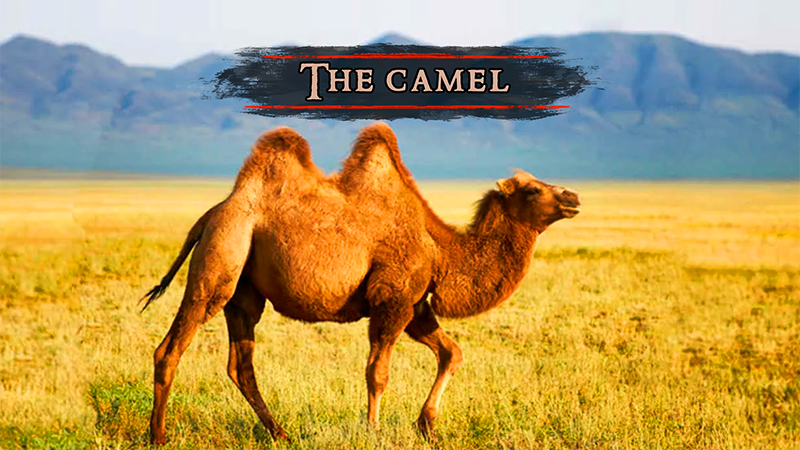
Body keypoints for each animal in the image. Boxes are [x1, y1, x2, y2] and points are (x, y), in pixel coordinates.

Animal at [140, 123, 581, 445]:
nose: (573, 196)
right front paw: (373, 430)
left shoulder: (414, 304)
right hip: (221, 258)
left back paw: (280, 434)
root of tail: (211, 214)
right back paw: (158, 436)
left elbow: (451, 353)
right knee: (171, 347)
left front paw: (427, 426)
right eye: (532, 189)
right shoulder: (392, 299)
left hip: (245, 291)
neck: (440, 249)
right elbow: (377, 371)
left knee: (240, 365)